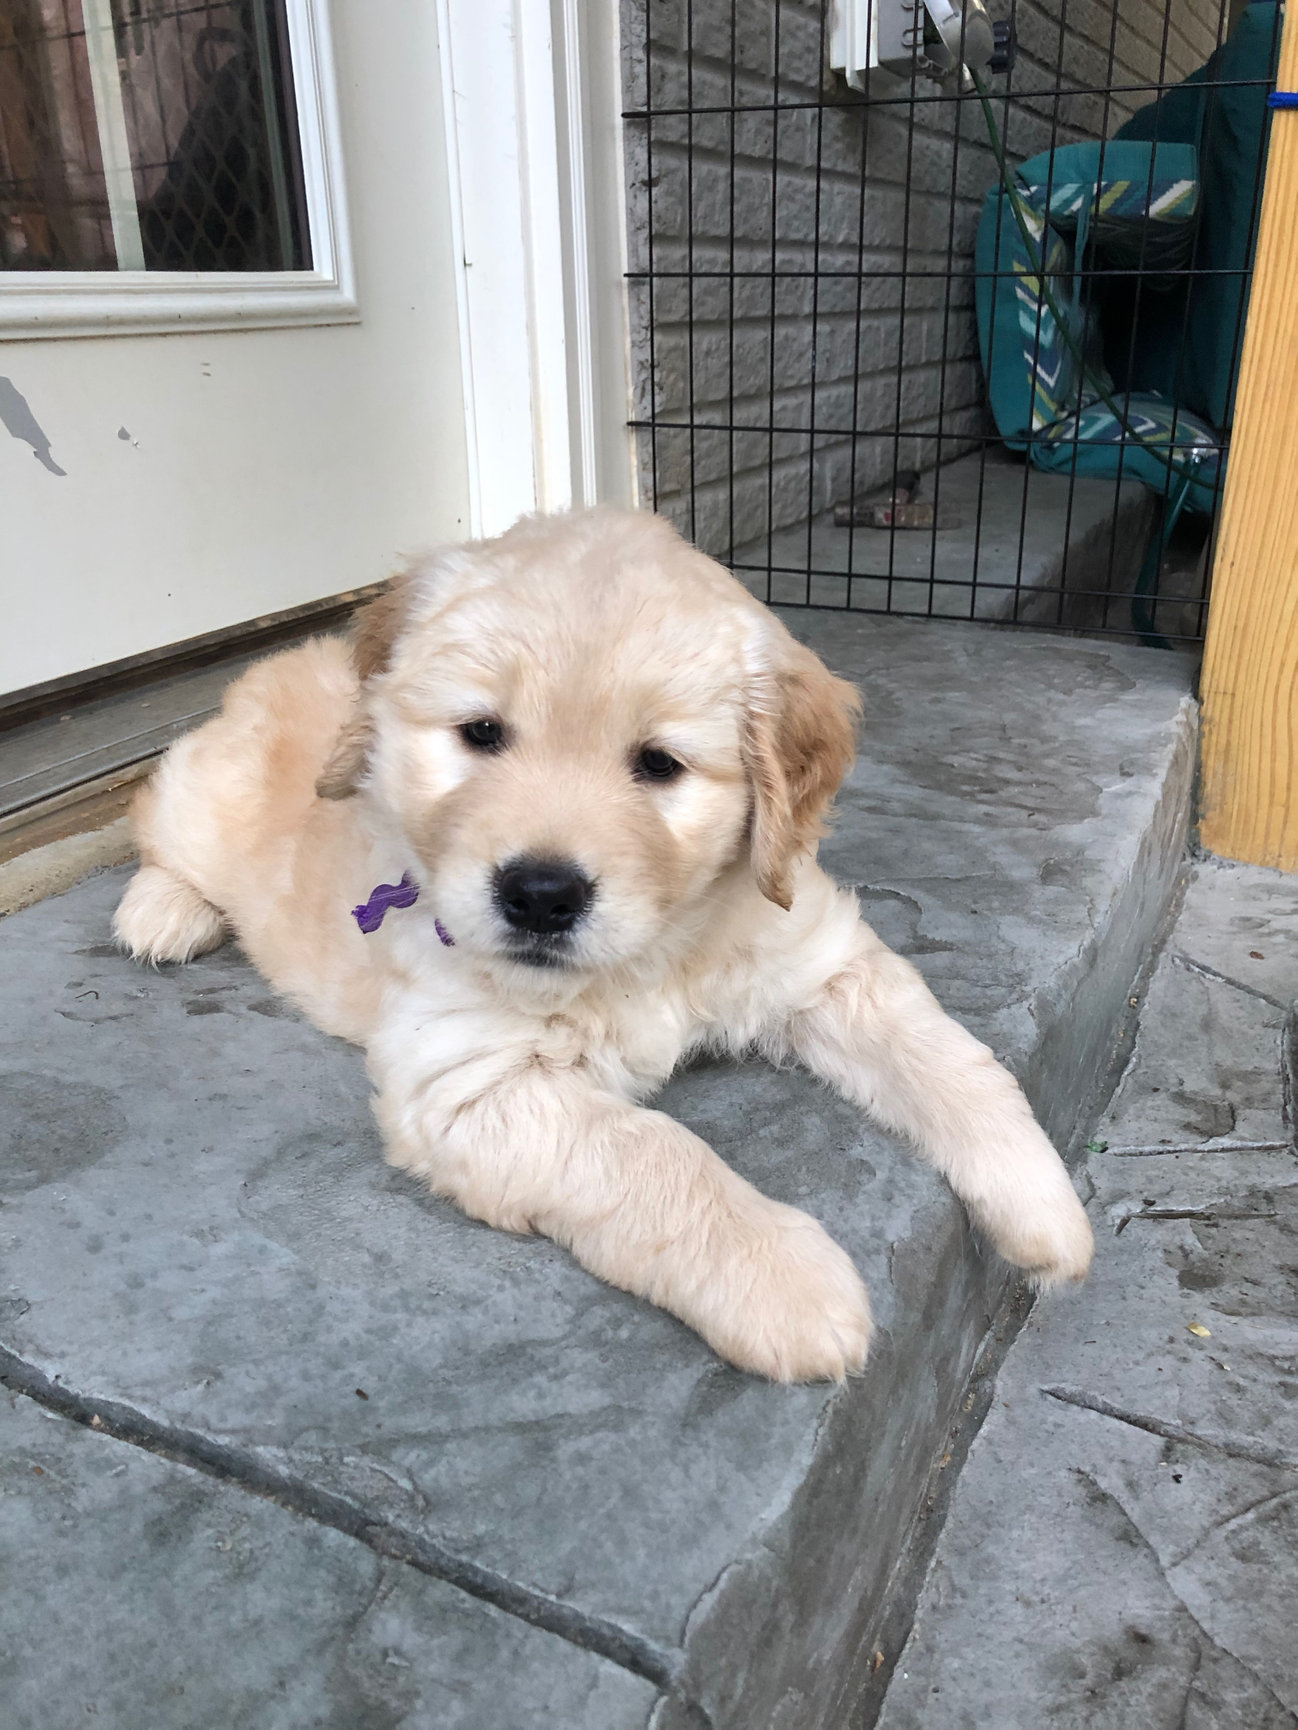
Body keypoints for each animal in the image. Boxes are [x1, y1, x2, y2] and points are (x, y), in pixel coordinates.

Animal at [114, 505, 1100, 1377]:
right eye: (481, 734)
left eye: (659, 764)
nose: (540, 896)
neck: (656, 951)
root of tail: (270, 663)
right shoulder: (468, 1079)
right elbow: (654, 1157)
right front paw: (788, 1282)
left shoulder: (821, 959)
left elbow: (956, 1063)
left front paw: (1046, 1204)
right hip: (203, 798)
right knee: (153, 821)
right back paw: (160, 913)